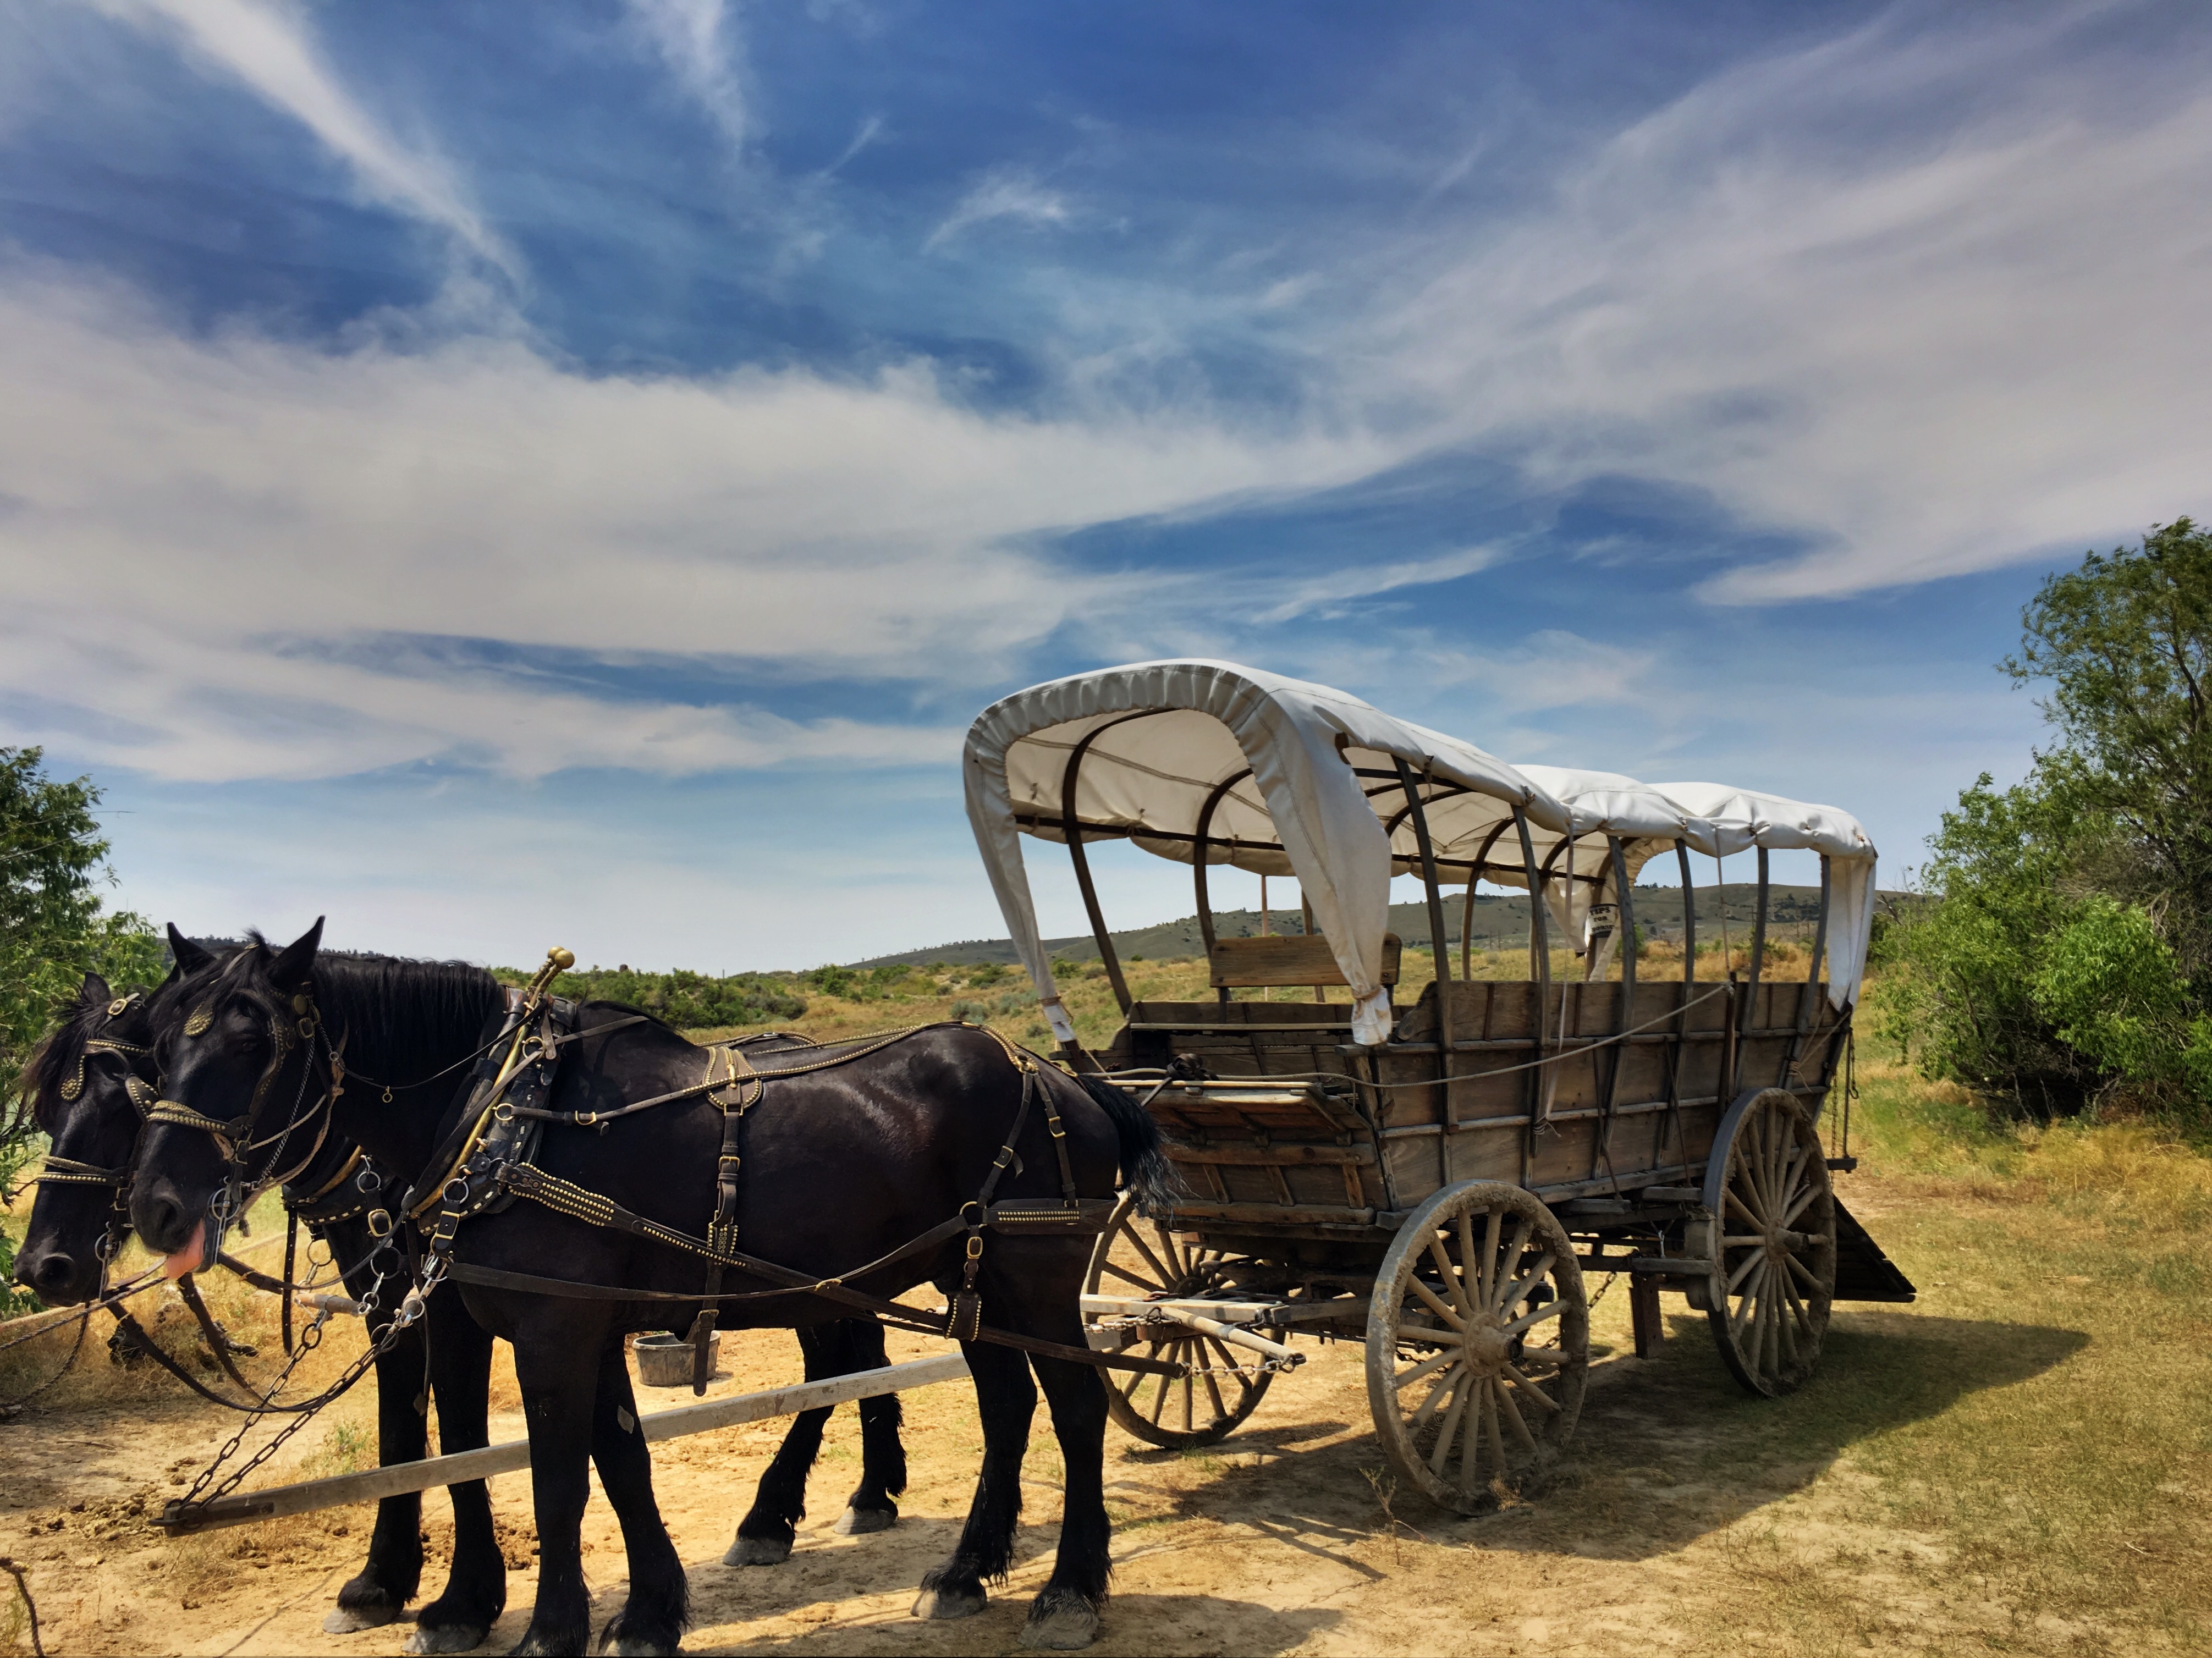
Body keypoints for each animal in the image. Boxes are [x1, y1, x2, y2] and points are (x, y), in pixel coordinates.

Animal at [131, 924, 1176, 1658]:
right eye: (155, 1047)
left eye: (255, 1044)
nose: (154, 1205)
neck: (506, 1117)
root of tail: (1057, 1077)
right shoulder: (577, 1326)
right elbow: (617, 1459)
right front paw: (643, 1612)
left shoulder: (550, 1328)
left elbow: (557, 1476)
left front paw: (549, 1628)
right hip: (970, 1280)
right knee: (1005, 1406)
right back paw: (963, 1573)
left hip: (1037, 1278)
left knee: (1076, 1409)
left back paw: (1069, 1590)